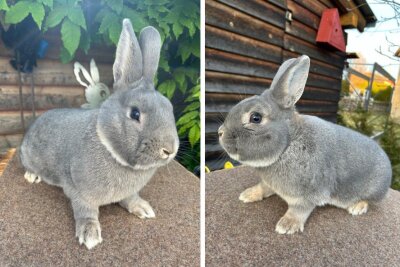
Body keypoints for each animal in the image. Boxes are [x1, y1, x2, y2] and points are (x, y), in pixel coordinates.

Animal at [19, 19, 179, 251]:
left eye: (170, 108)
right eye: (135, 113)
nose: (170, 150)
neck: (111, 149)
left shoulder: (127, 192)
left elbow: (131, 198)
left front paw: (143, 209)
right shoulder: (78, 191)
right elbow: (85, 211)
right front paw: (90, 235)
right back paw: (32, 176)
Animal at [219, 55, 390, 236]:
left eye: (256, 117)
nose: (220, 132)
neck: (287, 145)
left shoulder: (308, 194)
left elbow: (299, 210)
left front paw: (287, 225)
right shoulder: (269, 183)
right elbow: (263, 188)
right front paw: (248, 194)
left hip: (371, 190)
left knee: (368, 200)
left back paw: (357, 207)